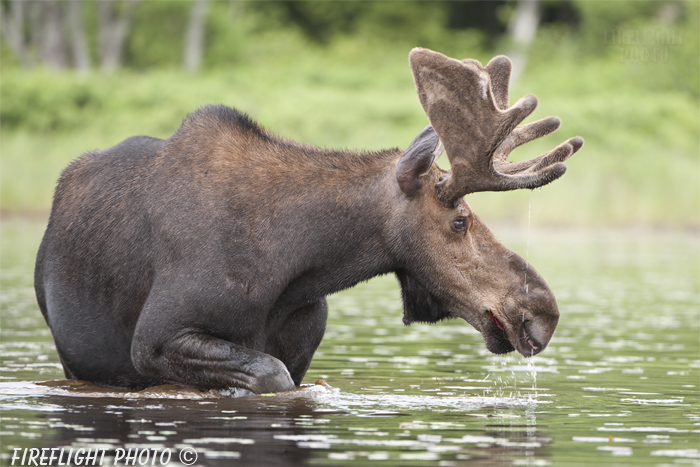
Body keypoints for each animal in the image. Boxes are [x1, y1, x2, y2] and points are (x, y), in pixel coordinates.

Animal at [35, 49, 584, 394]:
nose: (543, 311)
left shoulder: (301, 349)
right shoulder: (154, 338)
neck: (300, 264)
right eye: (460, 221)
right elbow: (267, 375)